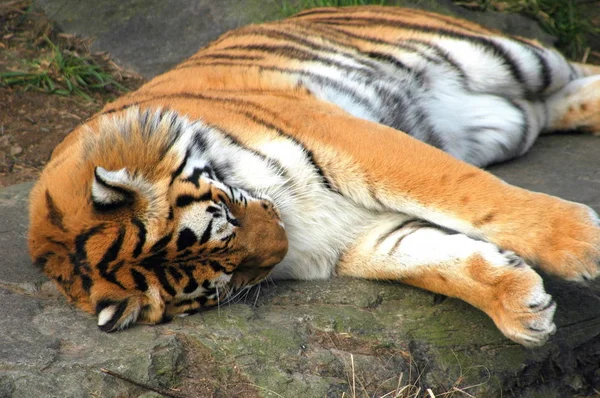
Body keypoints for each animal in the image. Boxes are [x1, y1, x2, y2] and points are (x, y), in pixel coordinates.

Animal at [27, 7, 600, 348]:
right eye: (226, 280)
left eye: (227, 212)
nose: (281, 244)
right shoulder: (356, 239)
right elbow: (434, 262)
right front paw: (522, 306)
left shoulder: (342, 136)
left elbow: (461, 189)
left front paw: (582, 246)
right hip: (513, 121)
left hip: (513, 57)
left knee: (573, 68)